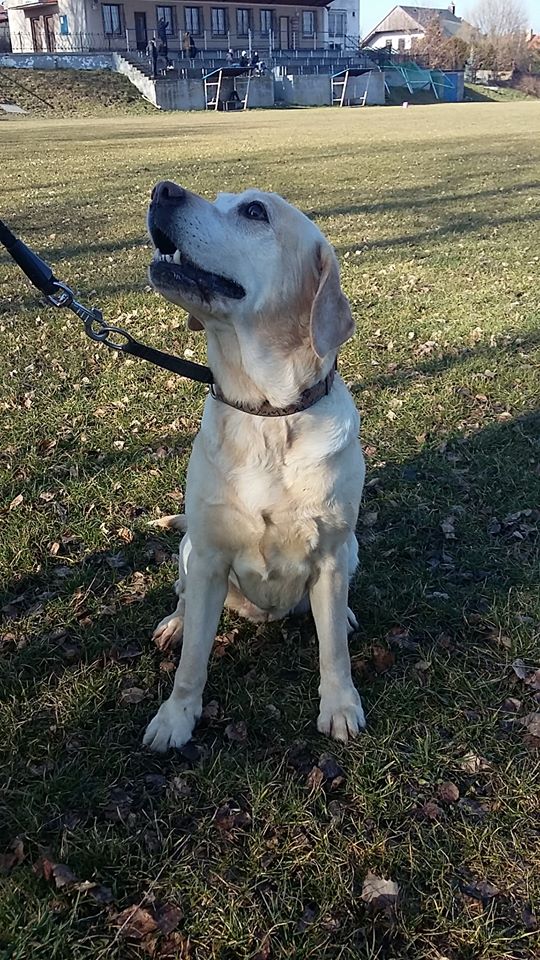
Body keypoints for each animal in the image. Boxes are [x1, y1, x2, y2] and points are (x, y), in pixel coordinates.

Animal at [143, 181, 366, 752]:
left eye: (253, 211)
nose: (162, 190)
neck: (268, 413)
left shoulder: (331, 556)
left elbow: (334, 652)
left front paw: (340, 706)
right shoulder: (210, 557)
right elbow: (192, 662)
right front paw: (176, 716)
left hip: (352, 548)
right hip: (189, 548)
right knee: (182, 597)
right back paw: (174, 623)